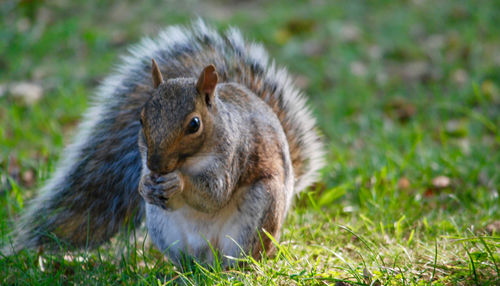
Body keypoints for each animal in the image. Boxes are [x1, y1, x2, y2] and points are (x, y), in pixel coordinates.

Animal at [4, 19, 324, 266]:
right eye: (141, 118)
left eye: (194, 124)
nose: (156, 166)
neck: (190, 161)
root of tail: (208, 255)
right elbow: (149, 183)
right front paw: (145, 185)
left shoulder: (235, 155)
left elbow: (215, 193)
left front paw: (178, 184)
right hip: (162, 225)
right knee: (186, 260)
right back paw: (182, 270)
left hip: (258, 216)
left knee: (242, 257)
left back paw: (232, 268)